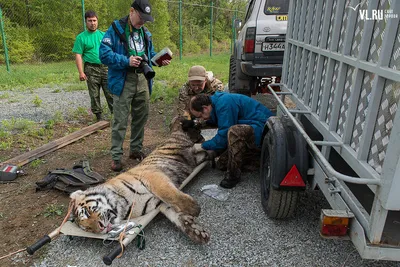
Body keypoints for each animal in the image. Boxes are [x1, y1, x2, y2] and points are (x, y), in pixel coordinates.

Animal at [69, 117, 212, 245]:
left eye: (87, 213)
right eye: (87, 229)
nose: (100, 229)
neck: (123, 205)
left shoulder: (153, 177)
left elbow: (170, 194)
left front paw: (195, 209)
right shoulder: (158, 204)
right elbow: (175, 214)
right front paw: (196, 231)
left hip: (188, 147)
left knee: (200, 141)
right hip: (196, 156)